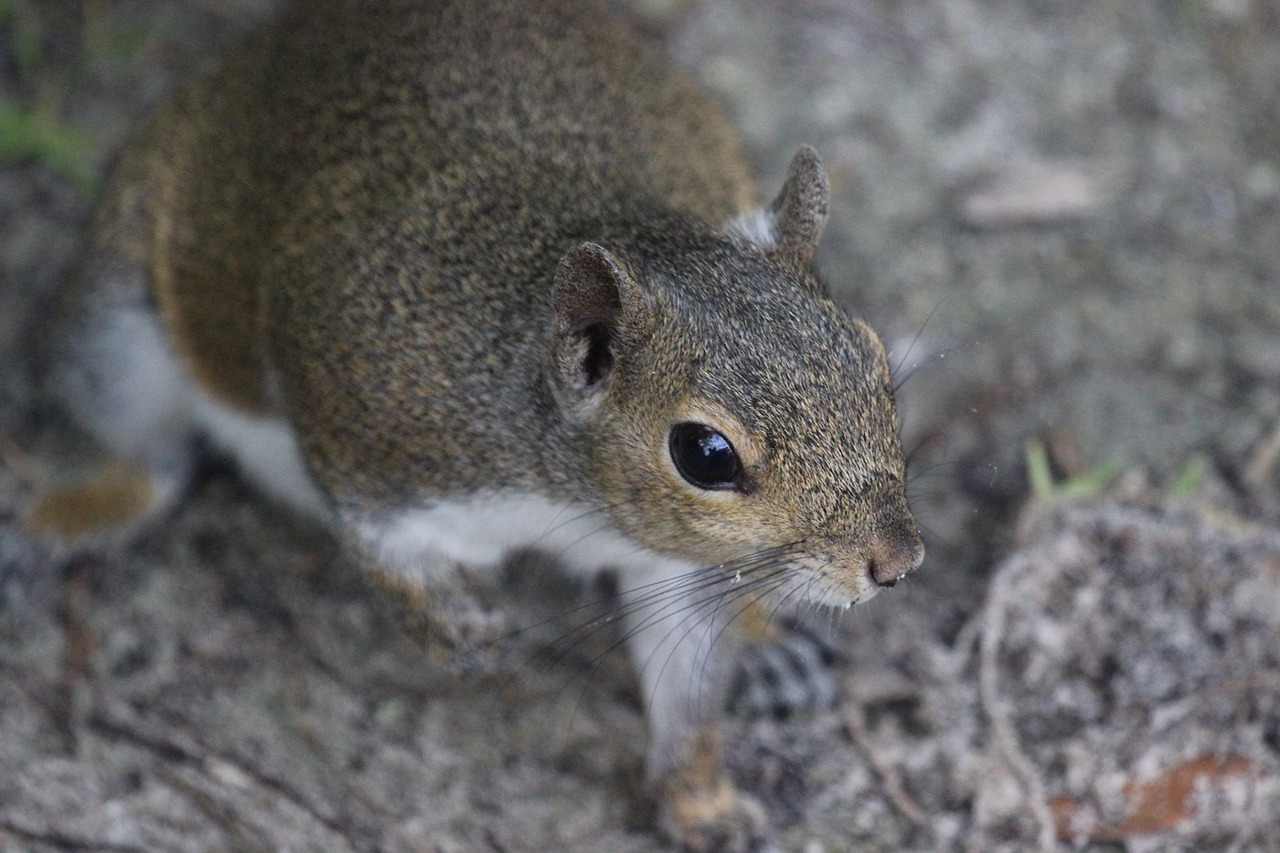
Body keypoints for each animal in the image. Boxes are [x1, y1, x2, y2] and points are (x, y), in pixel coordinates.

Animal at [32, 0, 921, 845]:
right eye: (704, 453)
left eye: (872, 357)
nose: (897, 561)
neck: (574, 498)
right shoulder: (372, 429)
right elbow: (382, 550)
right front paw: (465, 633)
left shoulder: (672, 558)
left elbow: (690, 675)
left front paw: (701, 801)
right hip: (119, 319)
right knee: (146, 456)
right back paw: (65, 515)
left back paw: (772, 644)